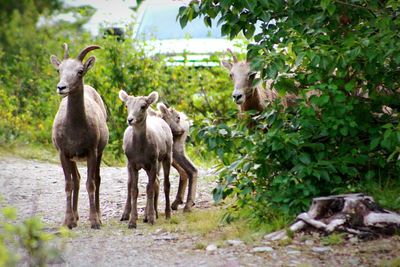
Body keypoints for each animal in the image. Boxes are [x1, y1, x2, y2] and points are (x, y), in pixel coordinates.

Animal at [50, 44, 109, 230]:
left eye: (80, 71)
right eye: (59, 70)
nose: (61, 87)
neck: (75, 129)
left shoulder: (92, 152)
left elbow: (90, 184)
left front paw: (95, 221)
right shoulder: (63, 154)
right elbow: (69, 185)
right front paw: (67, 222)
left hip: (99, 154)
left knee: (97, 179)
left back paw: (98, 216)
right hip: (73, 159)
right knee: (76, 180)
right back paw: (75, 218)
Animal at [118, 90, 173, 228]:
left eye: (143, 106)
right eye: (126, 105)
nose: (130, 119)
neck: (140, 150)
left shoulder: (153, 162)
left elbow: (149, 189)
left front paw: (152, 218)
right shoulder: (132, 163)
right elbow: (134, 189)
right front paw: (132, 221)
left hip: (166, 157)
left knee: (165, 184)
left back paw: (166, 214)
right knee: (153, 182)